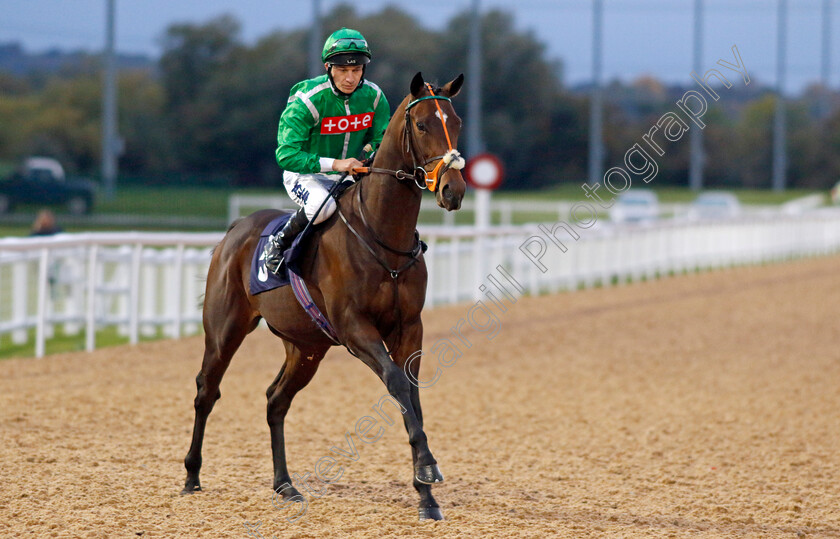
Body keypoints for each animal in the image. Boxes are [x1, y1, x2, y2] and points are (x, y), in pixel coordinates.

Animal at [182, 73, 466, 524]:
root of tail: (234, 229)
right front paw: (427, 469)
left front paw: (426, 495)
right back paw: (192, 475)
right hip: (225, 329)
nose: (454, 190)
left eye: (455, 122)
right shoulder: (354, 329)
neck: (381, 235)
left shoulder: (409, 328)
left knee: (275, 401)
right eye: (422, 125)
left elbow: (412, 393)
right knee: (207, 390)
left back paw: (285, 485)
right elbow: (396, 384)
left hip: (307, 347)